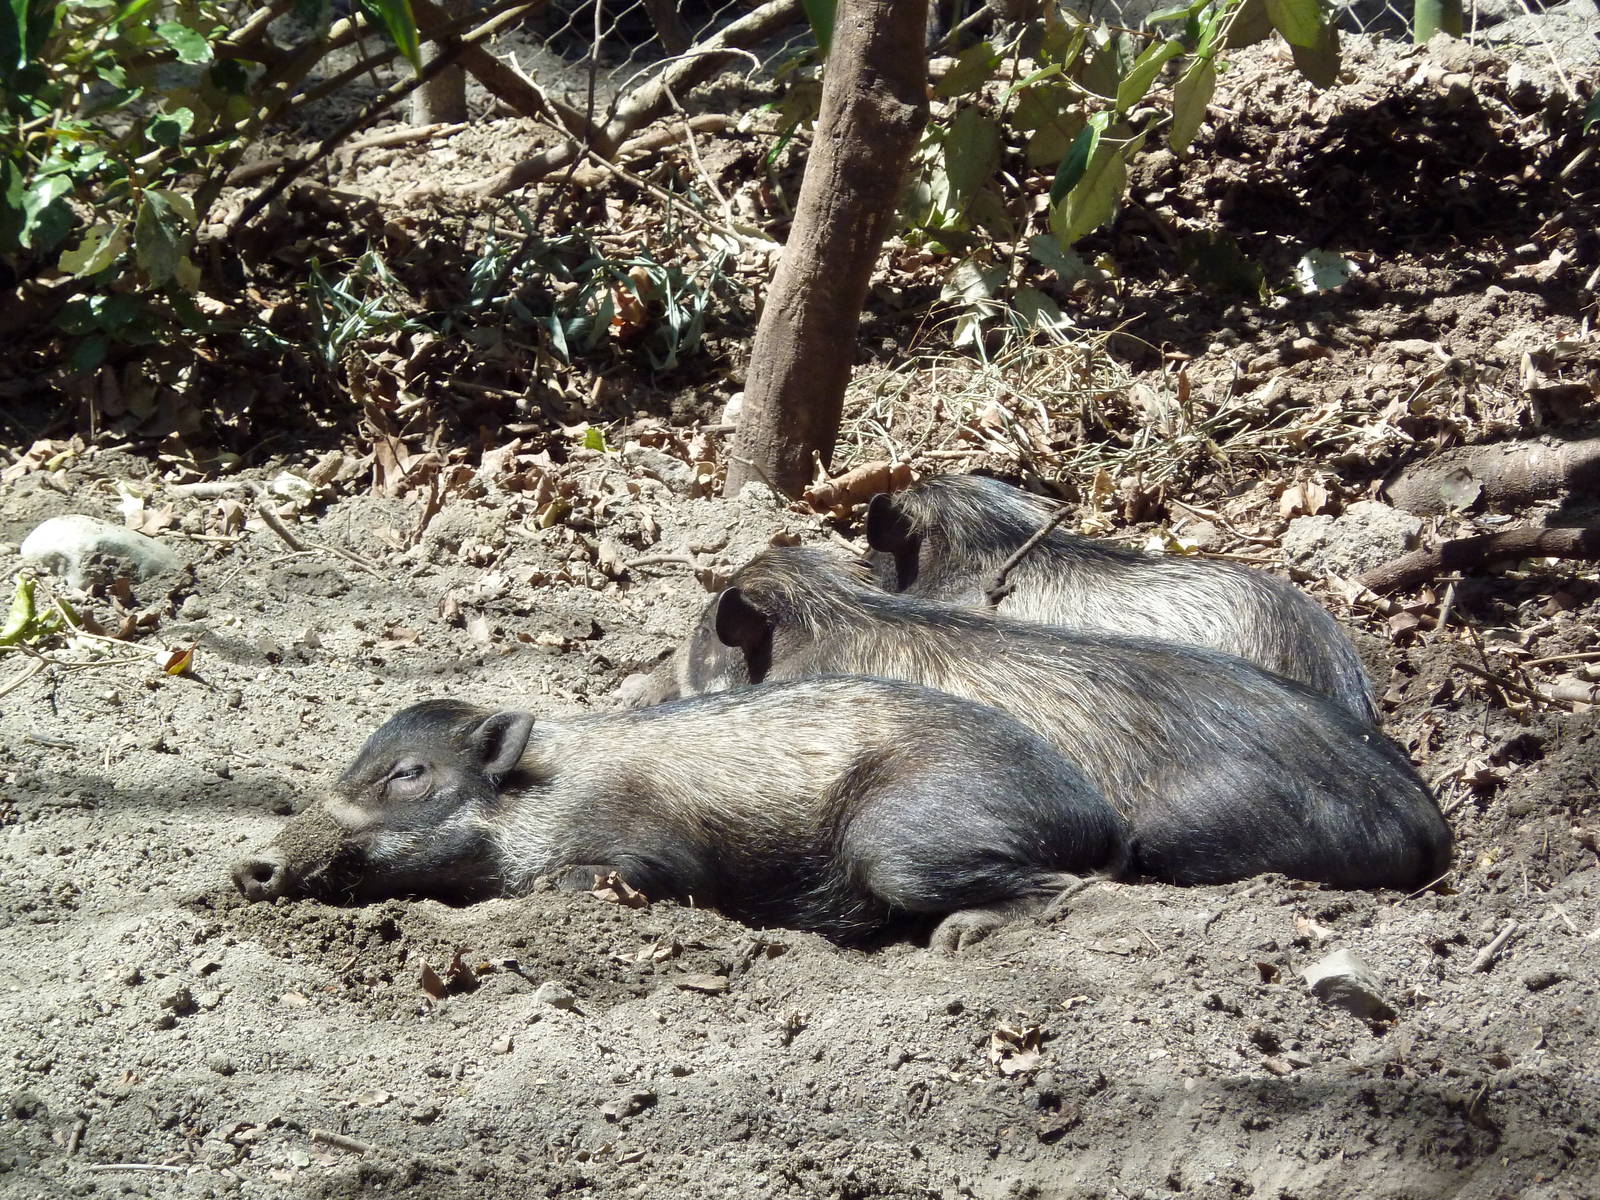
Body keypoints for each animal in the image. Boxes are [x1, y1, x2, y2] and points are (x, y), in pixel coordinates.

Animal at [232, 677, 1128, 951]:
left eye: (410, 774)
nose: (252, 865)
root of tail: (1099, 814)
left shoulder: (653, 849)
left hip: (905, 841)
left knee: (1067, 889)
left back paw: (954, 940)